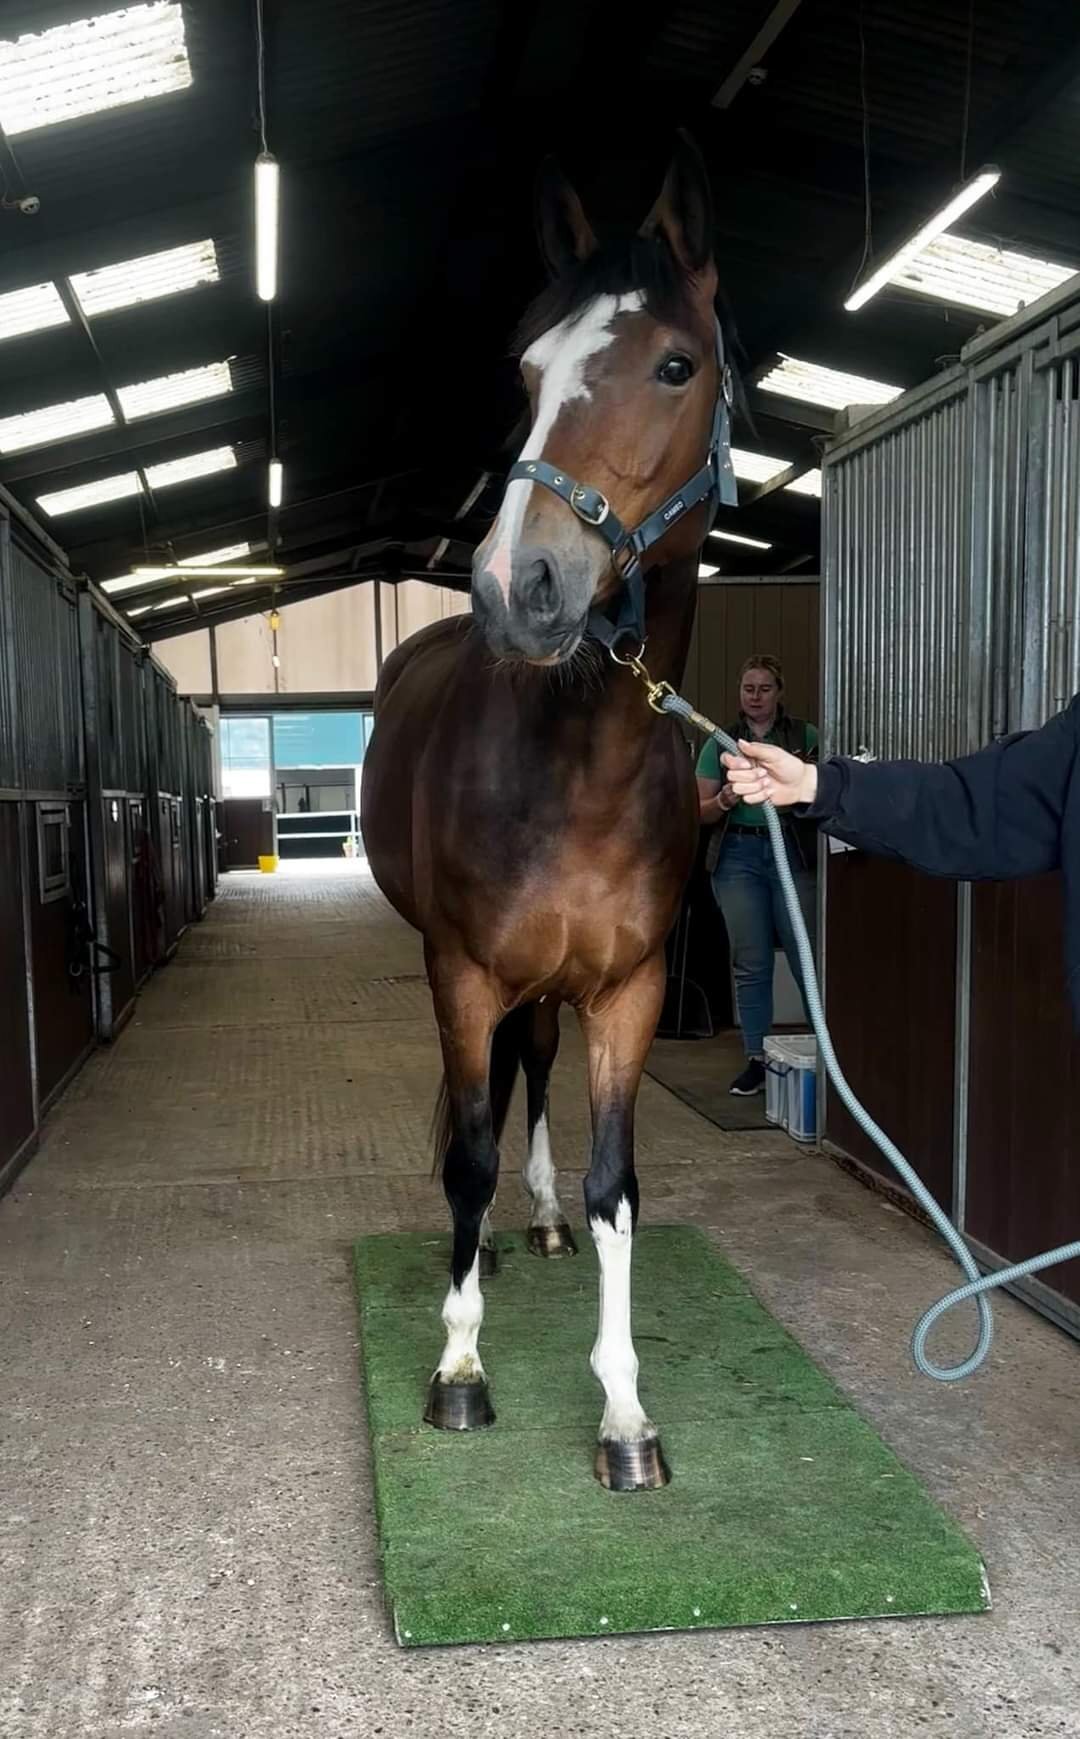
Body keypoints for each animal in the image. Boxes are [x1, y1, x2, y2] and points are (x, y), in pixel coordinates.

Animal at [361, 132, 737, 1490]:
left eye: (676, 363)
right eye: (529, 370)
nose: (515, 587)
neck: (584, 767)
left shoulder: (629, 987)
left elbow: (618, 1181)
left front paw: (625, 1410)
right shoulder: (463, 967)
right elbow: (464, 1147)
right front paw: (460, 1364)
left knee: (531, 1069)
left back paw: (537, 1221)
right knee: (480, 1100)